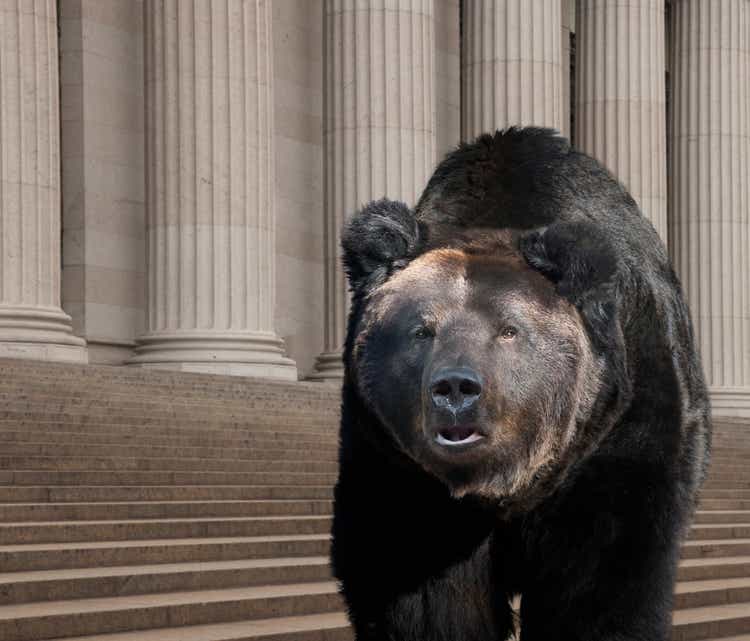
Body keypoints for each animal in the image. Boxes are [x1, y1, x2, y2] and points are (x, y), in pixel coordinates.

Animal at [332, 126, 712, 640]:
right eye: (421, 330)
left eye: (509, 330)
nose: (456, 389)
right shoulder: (398, 467)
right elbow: (425, 595)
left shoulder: (619, 435)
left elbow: (602, 578)